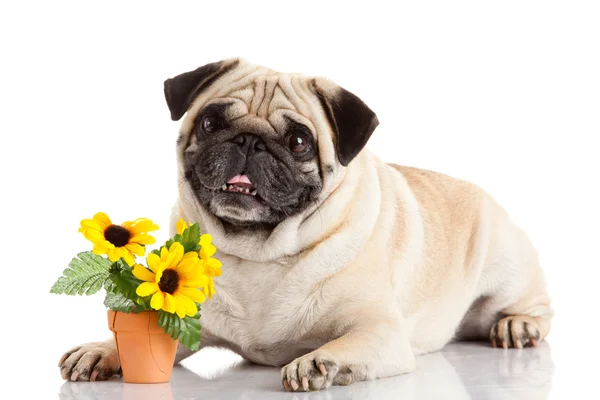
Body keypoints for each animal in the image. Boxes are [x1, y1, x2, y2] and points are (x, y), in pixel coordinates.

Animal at [59, 58, 552, 390]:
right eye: (210, 123)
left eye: (298, 142)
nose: (248, 141)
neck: (255, 255)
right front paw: (102, 351)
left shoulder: (379, 331)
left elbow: (341, 346)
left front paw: (318, 362)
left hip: (506, 269)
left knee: (532, 308)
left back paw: (517, 326)